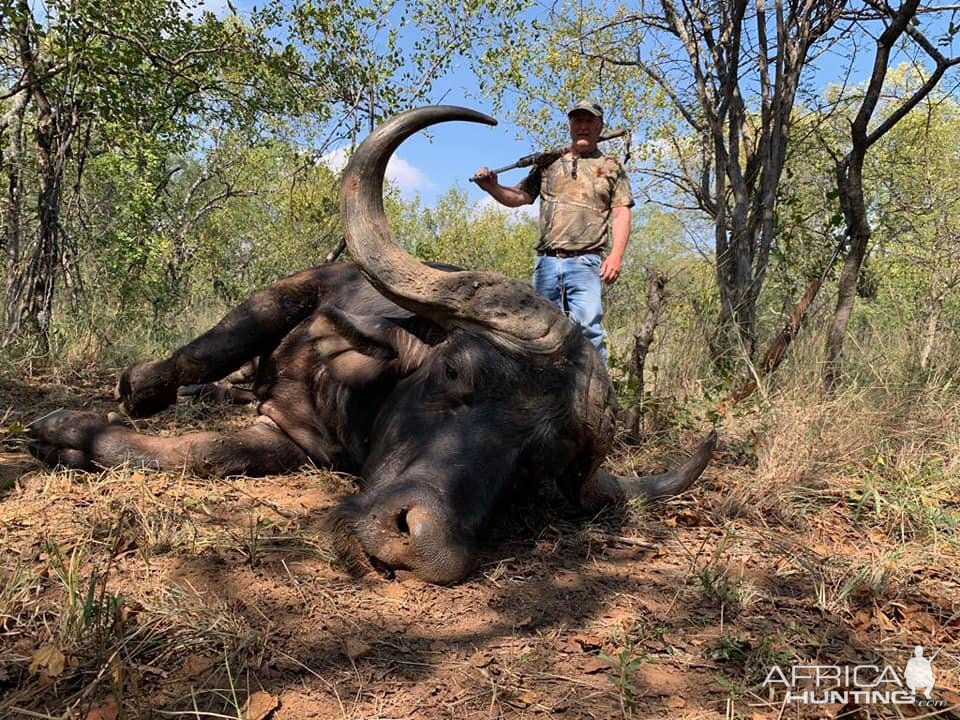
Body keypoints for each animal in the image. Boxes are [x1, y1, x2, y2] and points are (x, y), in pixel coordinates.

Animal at [28, 104, 712, 584]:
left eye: (536, 466)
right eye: (453, 373)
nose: (418, 544)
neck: (352, 393)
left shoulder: (293, 440)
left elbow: (209, 453)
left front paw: (77, 438)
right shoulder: (293, 292)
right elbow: (210, 350)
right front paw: (85, 420)